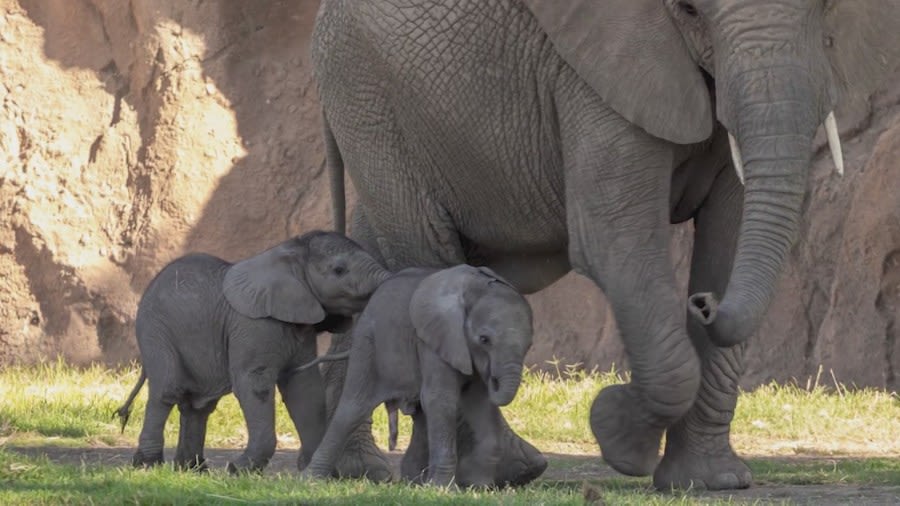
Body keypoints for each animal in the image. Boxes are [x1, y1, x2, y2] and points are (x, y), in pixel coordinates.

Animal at [114, 230, 388, 474]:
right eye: (339, 270)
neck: (287, 253)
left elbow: (304, 389)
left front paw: (320, 474)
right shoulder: (253, 326)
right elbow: (255, 385)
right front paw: (238, 469)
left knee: (198, 406)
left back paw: (192, 469)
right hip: (155, 330)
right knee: (167, 390)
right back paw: (147, 464)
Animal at [300, 264, 540, 486]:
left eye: (529, 345)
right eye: (484, 339)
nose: (494, 378)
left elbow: (479, 405)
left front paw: (479, 488)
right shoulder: (432, 340)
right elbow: (441, 399)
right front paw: (443, 489)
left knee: (422, 416)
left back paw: (413, 483)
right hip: (369, 342)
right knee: (353, 407)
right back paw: (312, 479)